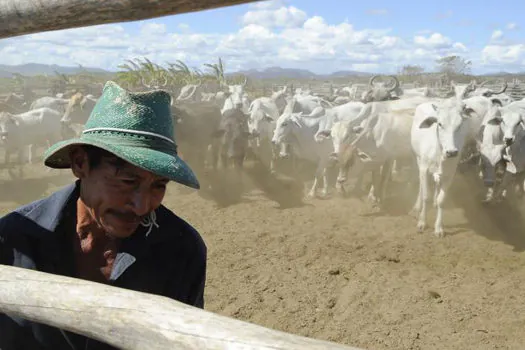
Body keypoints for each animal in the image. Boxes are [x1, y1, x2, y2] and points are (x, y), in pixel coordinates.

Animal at [412, 101, 476, 238]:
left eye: (459, 124)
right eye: (440, 124)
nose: (451, 152)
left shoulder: (449, 175)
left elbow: (442, 200)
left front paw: (438, 228)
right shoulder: (424, 169)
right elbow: (426, 196)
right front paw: (422, 222)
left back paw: (435, 202)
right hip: (418, 159)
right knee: (421, 184)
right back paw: (417, 205)